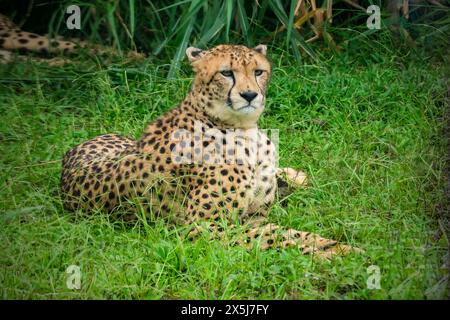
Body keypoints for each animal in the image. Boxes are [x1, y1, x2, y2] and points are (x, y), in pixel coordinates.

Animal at [59, 43, 358, 258]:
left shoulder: (254, 217)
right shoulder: (203, 226)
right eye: (226, 73)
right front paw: (332, 252)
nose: (250, 95)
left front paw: (337, 247)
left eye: (258, 72)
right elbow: (277, 237)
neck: (246, 130)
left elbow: (290, 233)